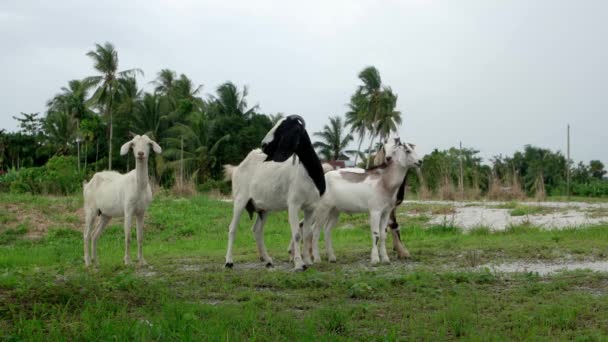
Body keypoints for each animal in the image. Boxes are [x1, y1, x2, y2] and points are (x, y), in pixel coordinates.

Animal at [84, 134, 164, 268]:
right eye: (133, 144)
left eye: (148, 144)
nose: (140, 153)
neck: (139, 186)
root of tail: (88, 184)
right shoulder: (128, 210)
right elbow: (128, 236)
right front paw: (127, 261)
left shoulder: (141, 212)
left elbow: (140, 237)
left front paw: (142, 261)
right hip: (90, 210)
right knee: (86, 234)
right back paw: (88, 262)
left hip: (105, 215)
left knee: (95, 235)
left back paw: (97, 262)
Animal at [224, 116, 328, 272]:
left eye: (283, 127)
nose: (263, 145)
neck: (309, 172)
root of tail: (237, 167)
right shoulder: (294, 204)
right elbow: (297, 234)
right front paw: (299, 264)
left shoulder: (311, 207)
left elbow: (307, 234)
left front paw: (308, 261)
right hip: (240, 200)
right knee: (232, 228)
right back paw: (229, 262)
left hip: (263, 208)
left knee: (257, 230)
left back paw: (268, 260)